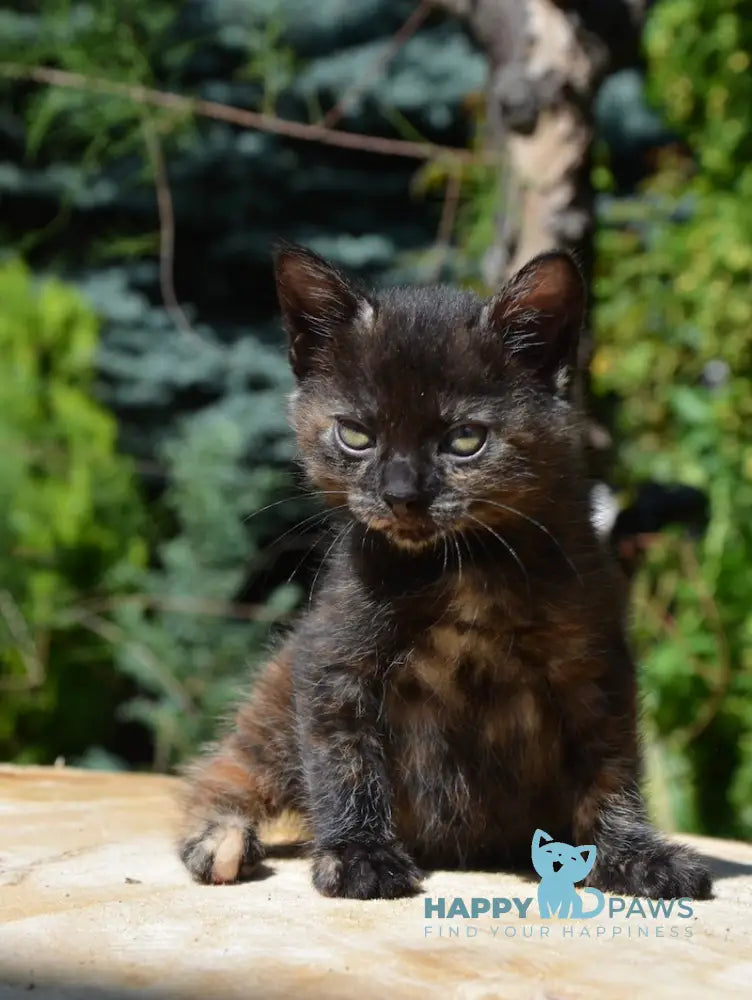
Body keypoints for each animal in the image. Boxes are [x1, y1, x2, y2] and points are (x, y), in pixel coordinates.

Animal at [176, 246, 712, 904]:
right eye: (356, 434)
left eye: (465, 440)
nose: (401, 494)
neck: (464, 566)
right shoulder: (333, 656)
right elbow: (343, 760)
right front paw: (358, 855)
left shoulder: (595, 664)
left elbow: (609, 768)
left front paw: (631, 855)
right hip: (277, 695)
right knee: (227, 768)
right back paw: (219, 839)